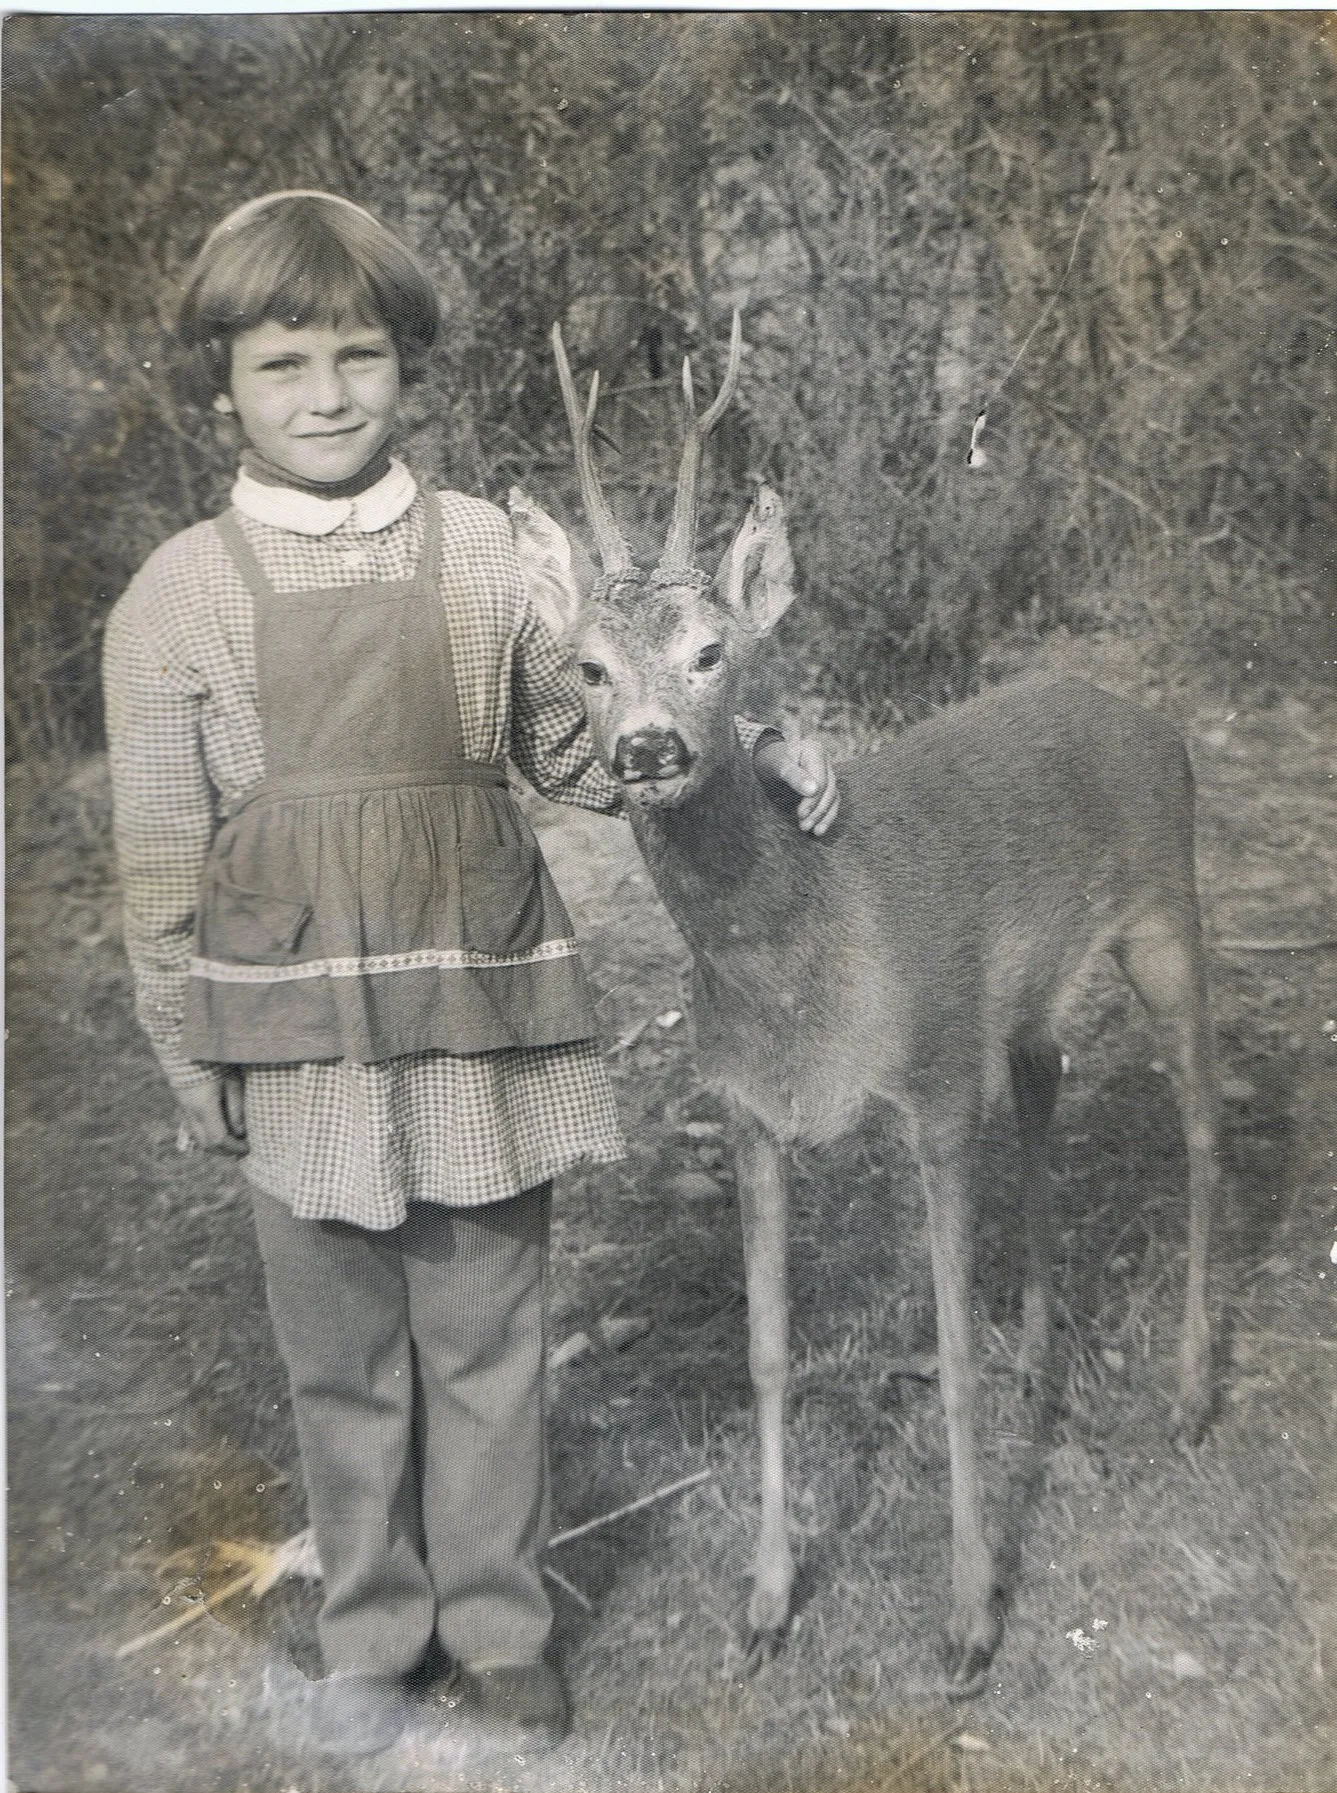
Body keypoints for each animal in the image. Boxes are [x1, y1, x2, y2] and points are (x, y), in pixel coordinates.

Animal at [512, 319, 1218, 1692]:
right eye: (587, 667)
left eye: (712, 650)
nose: (643, 750)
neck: (805, 971)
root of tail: (1147, 717)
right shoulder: (747, 1113)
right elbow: (766, 1350)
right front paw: (764, 1604)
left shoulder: (935, 1083)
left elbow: (943, 1356)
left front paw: (968, 1619)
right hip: (1027, 997)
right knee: (1047, 1087)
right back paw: (1045, 1357)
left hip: (1167, 907)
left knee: (1201, 1123)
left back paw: (1187, 1389)